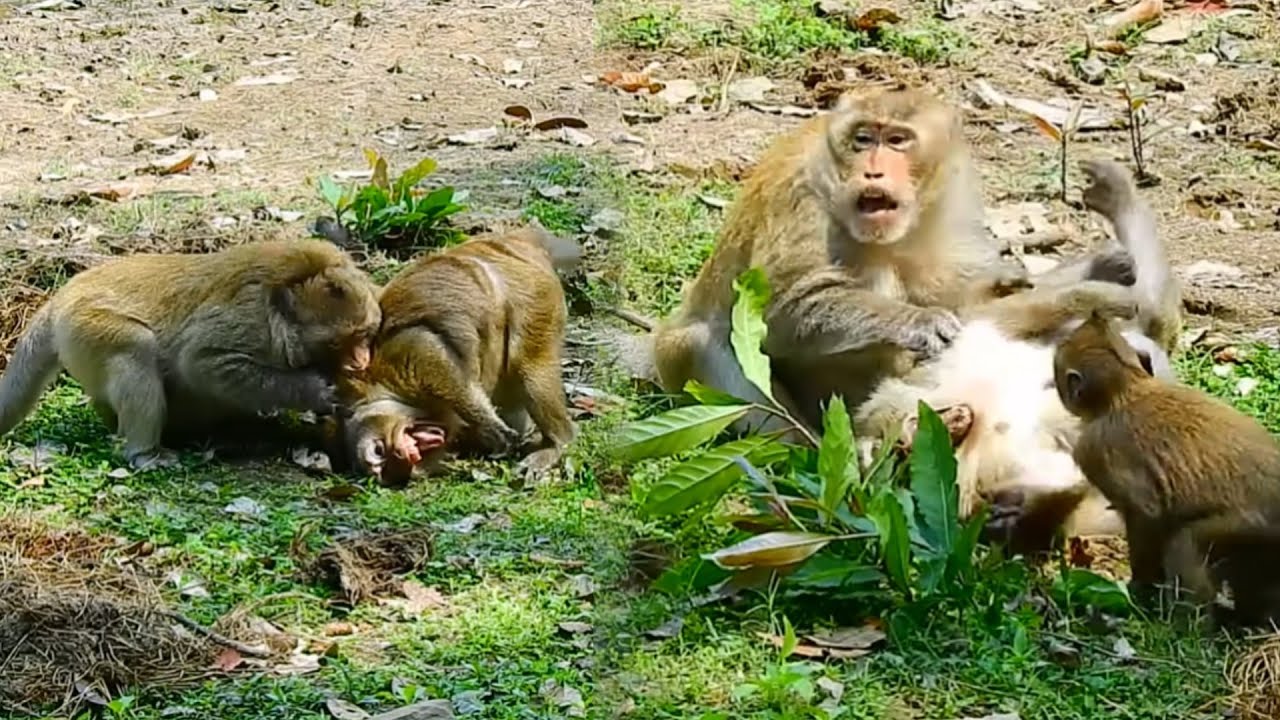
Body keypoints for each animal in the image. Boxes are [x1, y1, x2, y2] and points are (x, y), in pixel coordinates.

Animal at [0, 240, 381, 470]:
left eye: (366, 335)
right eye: (340, 342)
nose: (361, 361)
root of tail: (62, 296)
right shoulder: (251, 322)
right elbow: (202, 363)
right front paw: (314, 390)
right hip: (85, 324)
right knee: (136, 345)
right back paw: (145, 453)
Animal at [332, 226, 580, 487]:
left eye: (380, 451)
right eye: (389, 468)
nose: (403, 455)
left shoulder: (400, 365)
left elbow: (434, 359)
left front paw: (493, 429)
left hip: (533, 294)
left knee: (531, 369)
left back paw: (557, 442)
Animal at [1054, 312, 1280, 626]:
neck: (1128, 390)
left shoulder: (1093, 448)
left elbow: (1146, 514)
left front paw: (1141, 590)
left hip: (1251, 526)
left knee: (1184, 542)